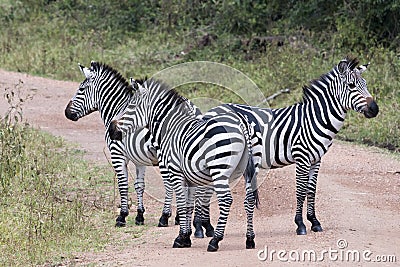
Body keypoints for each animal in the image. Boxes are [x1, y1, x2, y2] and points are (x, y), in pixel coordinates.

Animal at [64, 61, 214, 237]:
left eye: (81, 89)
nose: (66, 113)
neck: (116, 109)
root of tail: (192, 110)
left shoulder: (117, 154)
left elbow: (123, 184)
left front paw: (122, 216)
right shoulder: (139, 160)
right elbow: (139, 185)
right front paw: (140, 216)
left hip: (165, 156)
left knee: (172, 184)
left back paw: (166, 217)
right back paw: (187, 220)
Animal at [108, 78, 262, 253]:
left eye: (131, 106)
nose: (111, 130)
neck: (170, 130)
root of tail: (240, 122)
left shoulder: (176, 173)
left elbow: (181, 204)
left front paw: (180, 238)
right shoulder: (190, 178)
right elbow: (188, 206)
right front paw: (187, 237)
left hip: (219, 170)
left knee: (226, 200)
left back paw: (215, 241)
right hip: (248, 169)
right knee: (249, 199)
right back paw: (249, 239)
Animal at [203, 55, 378, 236]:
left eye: (365, 84)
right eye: (351, 86)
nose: (375, 109)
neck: (314, 119)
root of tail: (211, 111)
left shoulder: (316, 160)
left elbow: (311, 190)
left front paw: (314, 221)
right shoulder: (302, 157)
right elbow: (300, 191)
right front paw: (300, 224)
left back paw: (205, 228)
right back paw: (204, 229)